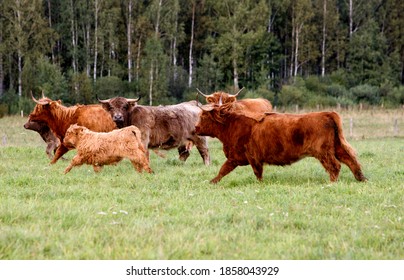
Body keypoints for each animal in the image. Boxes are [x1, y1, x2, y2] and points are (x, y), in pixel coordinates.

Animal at [194, 103, 368, 184]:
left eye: (203, 116)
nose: (195, 127)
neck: (231, 125)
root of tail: (327, 113)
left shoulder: (248, 157)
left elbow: (250, 172)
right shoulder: (238, 158)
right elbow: (224, 170)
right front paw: (212, 181)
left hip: (323, 151)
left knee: (335, 165)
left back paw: (332, 182)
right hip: (337, 147)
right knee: (351, 160)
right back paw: (361, 178)